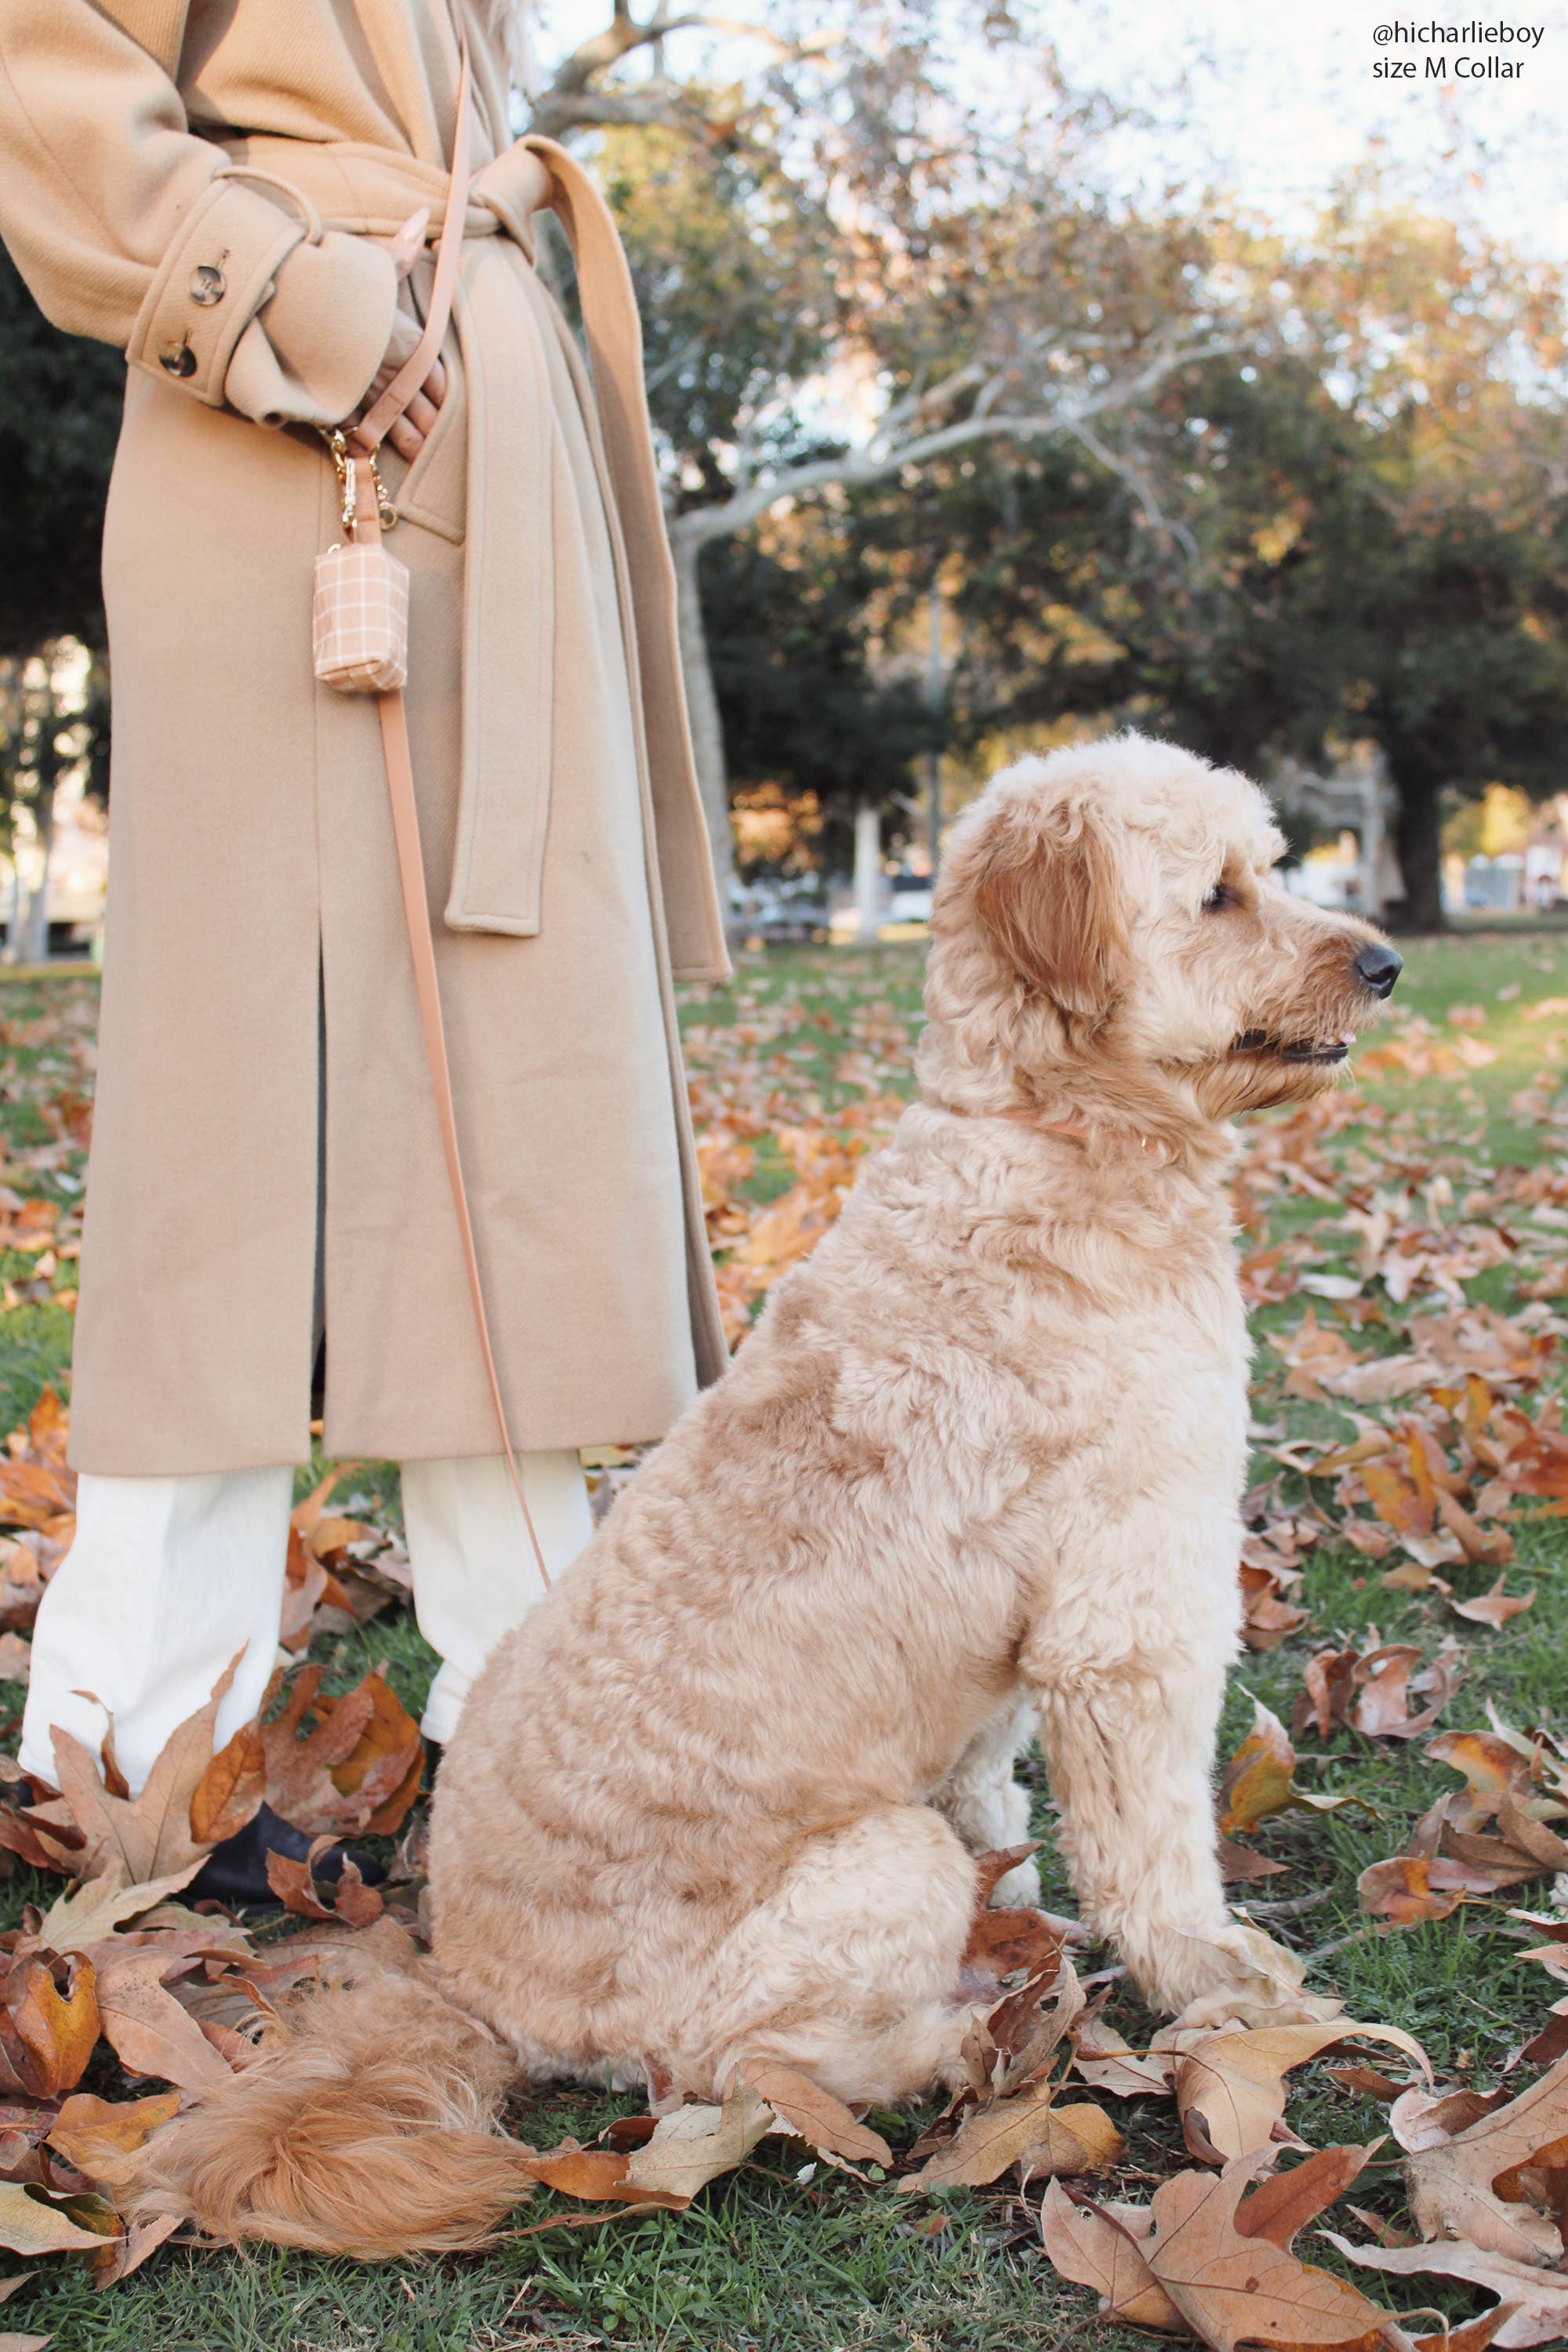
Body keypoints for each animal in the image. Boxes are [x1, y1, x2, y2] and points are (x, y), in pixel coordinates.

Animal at [135, 729, 1401, 2239]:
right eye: (1218, 894)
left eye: (1269, 866)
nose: (1387, 961)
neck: (1048, 1134)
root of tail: (473, 1987)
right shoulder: (1128, 1615)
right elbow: (1153, 1849)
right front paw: (1214, 1978)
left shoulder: (1009, 1658)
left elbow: (997, 1795)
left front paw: (1037, 1909)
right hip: (869, 1872)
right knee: (741, 2068)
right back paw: (948, 2046)